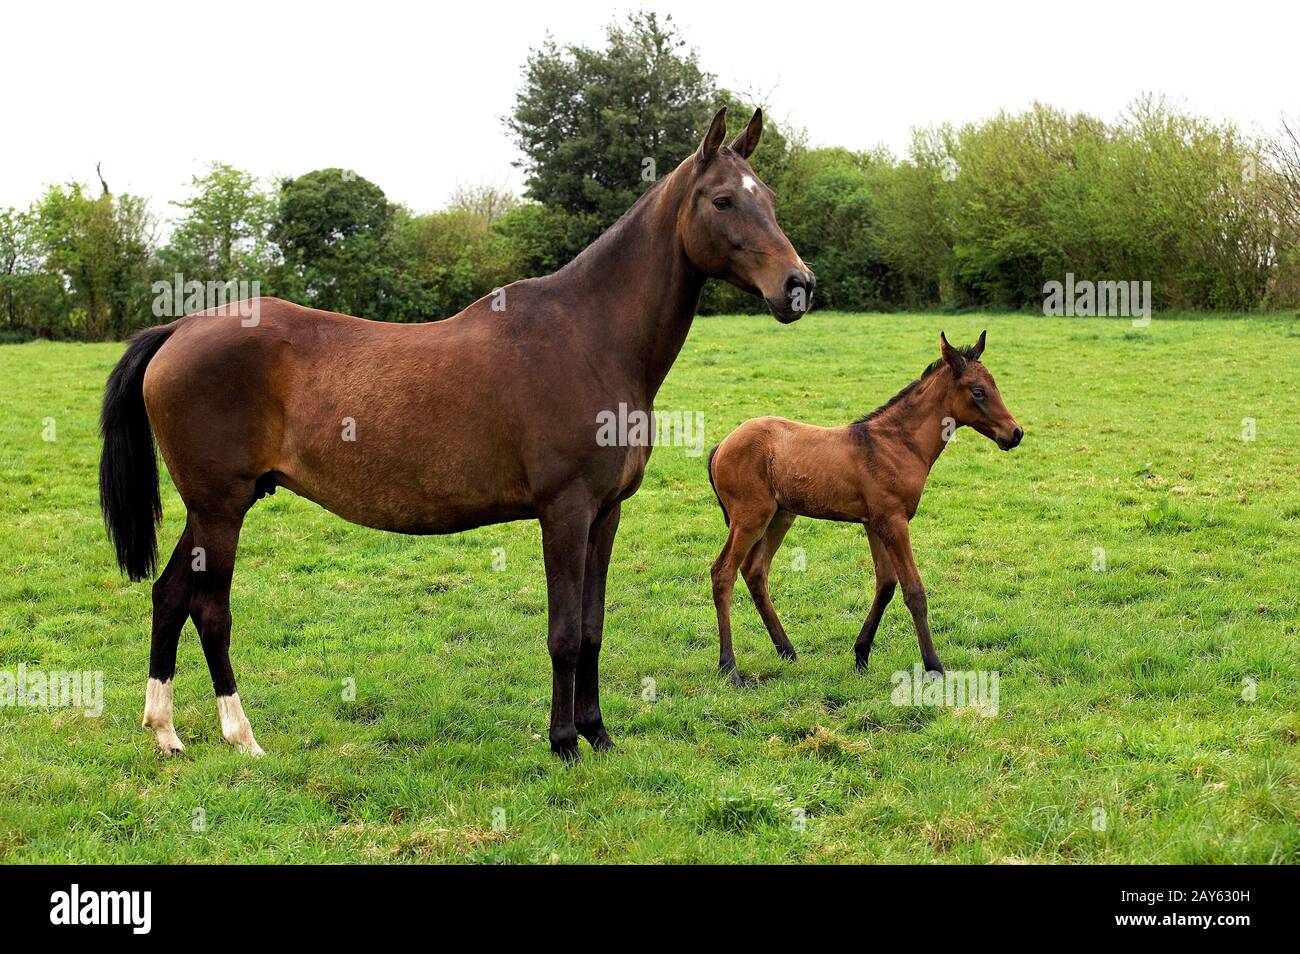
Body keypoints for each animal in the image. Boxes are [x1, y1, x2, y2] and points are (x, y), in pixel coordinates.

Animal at [100, 107, 813, 760]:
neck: (591, 336)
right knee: (209, 610)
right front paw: (563, 743)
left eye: (769, 199)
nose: (798, 286)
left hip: (214, 507)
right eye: (722, 200)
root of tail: (178, 328)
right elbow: (562, 633)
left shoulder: (605, 514)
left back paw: (165, 733)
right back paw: (241, 736)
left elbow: (591, 630)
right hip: (221, 509)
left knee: (169, 597)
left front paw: (598, 734)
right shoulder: (564, 511)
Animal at [705, 331, 1022, 685]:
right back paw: (729, 667)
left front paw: (861, 654)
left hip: (780, 516)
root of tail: (721, 446)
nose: (1015, 433)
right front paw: (934, 666)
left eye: (995, 386)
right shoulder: (893, 521)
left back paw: (786, 650)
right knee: (723, 572)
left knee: (755, 571)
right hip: (750, 517)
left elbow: (885, 584)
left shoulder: (874, 522)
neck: (896, 444)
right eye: (978, 391)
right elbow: (914, 591)